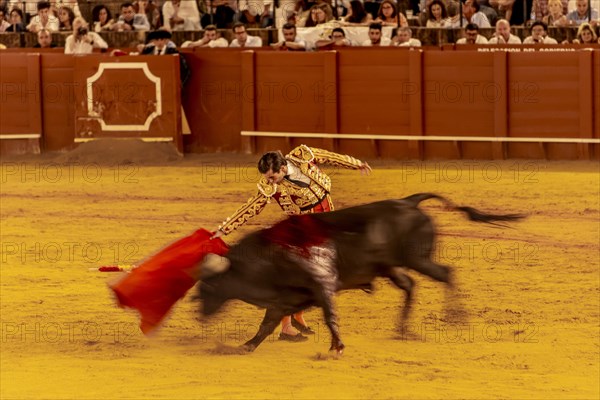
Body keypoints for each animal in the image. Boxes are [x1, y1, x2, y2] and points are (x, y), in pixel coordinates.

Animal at [196, 194, 520, 354]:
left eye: (209, 287)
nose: (199, 316)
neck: (266, 260)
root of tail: (408, 201)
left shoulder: (322, 284)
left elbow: (329, 315)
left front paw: (336, 346)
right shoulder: (283, 298)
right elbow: (266, 325)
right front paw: (245, 346)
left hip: (417, 258)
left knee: (445, 273)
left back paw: (456, 317)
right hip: (391, 267)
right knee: (410, 285)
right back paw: (402, 329)